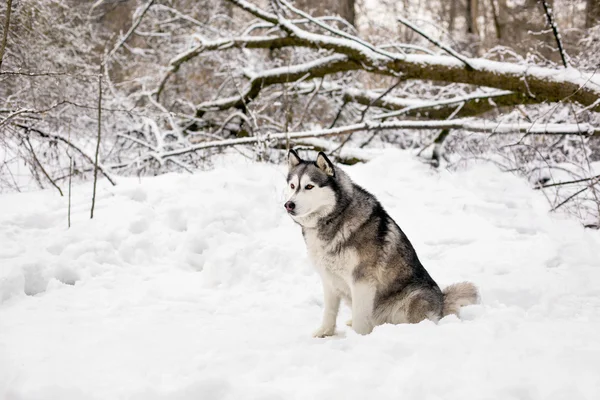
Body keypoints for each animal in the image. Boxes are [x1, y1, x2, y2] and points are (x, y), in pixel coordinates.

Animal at [286, 148, 478, 336]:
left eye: (309, 186)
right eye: (293, 186)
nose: (288, 205)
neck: (333, 219)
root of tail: (442, 304)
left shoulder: (362, 281)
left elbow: (360, 319)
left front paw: (358, 338)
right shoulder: (329, 280)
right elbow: (329, 312)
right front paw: (325, 332)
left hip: (414, 297)